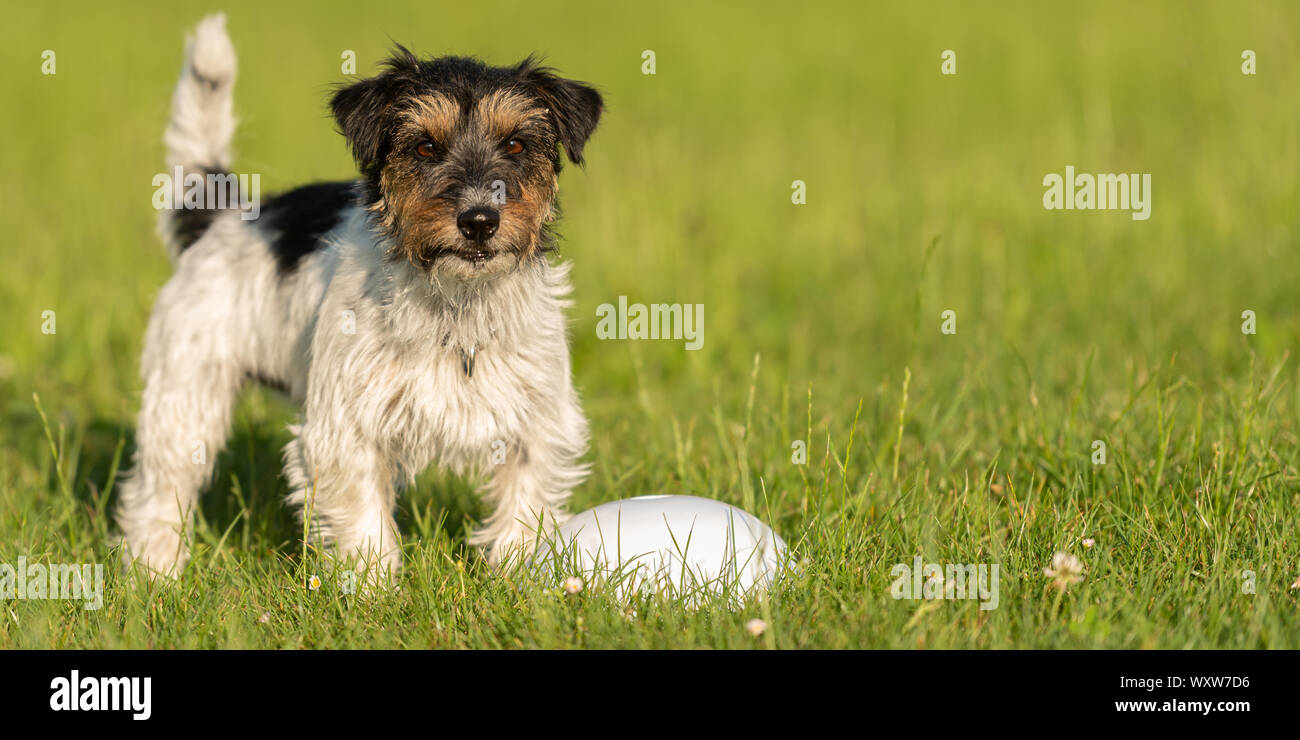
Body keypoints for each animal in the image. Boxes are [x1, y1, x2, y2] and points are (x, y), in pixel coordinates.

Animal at [114, 13, 600, 577]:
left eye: (517, 145)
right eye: (424, 147)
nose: (479, 220)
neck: (455, 306)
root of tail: (221, 217)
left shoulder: (536, 427)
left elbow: (524, 509)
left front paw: (519, 580)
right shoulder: (345, 431)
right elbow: (364, 521)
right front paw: (373, 589)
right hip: (187, 398)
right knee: (158, 490)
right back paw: (157, 571)